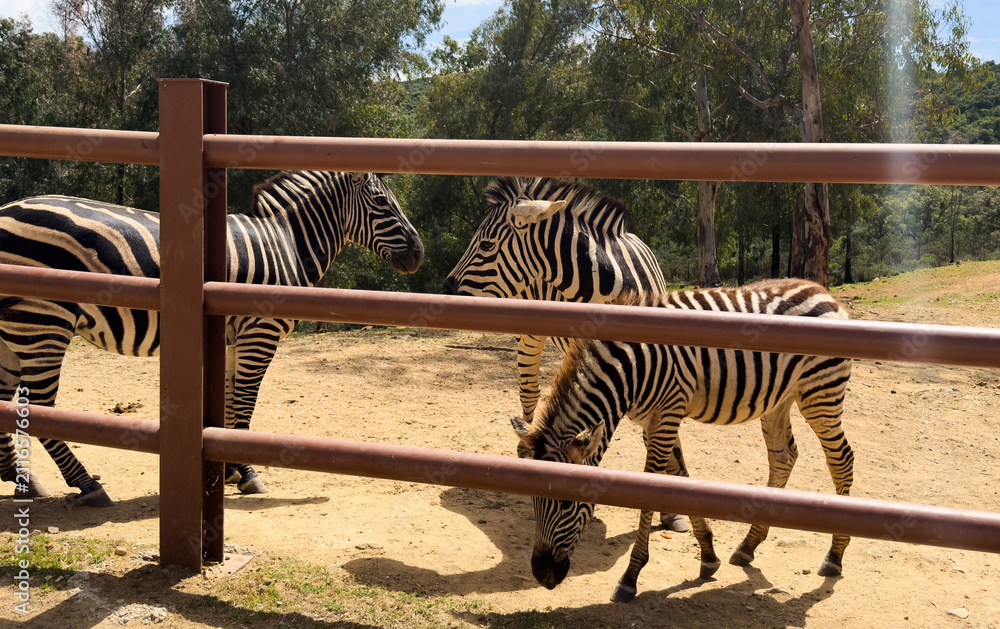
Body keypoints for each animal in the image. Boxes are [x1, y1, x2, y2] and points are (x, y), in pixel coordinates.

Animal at [0, 170, 423, 506]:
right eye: (382, 202)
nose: (419, 254)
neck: (288, 244)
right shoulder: (259, 333)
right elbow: (246, 404)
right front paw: (248, 473)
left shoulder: (235, 338)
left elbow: (231, 401)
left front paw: (230, 467)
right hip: (43, 321)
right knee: (41, 405)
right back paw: (86, 485)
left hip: (14, 330)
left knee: (5, 399)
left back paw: (21, 479)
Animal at [511, 279, 854, 603]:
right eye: (532, 499)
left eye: (567, 503)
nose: (541, 574)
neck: (629, 370)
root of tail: (821, 291)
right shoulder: (655, 420)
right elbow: (680, 480)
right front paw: (708, 556)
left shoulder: (667, 412)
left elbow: (653, 489)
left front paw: (630, 577)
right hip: (778, 400)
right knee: (783, 457)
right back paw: (748, 546)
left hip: (820, 394)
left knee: (841, 460)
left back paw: (835, 556)